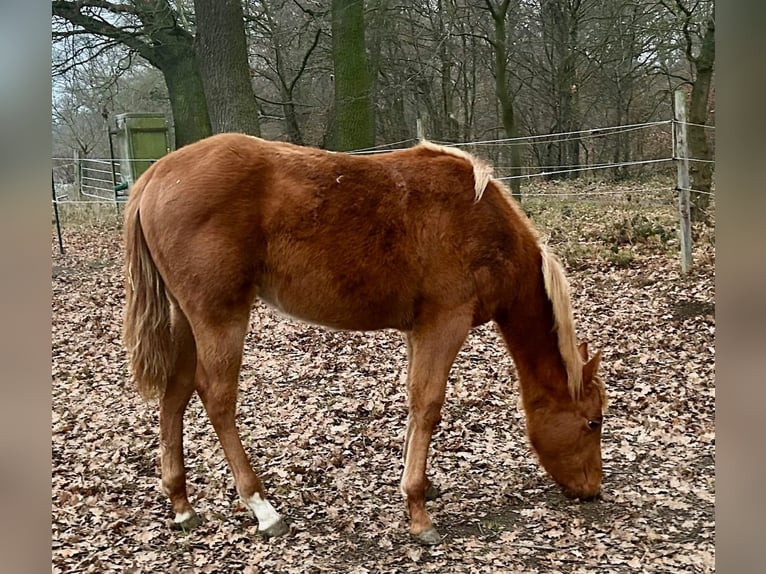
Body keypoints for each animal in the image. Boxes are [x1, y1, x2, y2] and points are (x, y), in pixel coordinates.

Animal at [122, 133, 606, 545]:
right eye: (593, 422)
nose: (593, 490)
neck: (481, 221)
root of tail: (155, 176)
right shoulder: (446, 322)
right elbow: (428, 405)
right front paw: (419, 513)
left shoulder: (420, 329)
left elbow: (414, 404)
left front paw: (419, 486)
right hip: (219, 318)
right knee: (216, 397)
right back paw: (263, 508)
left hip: (186, 321)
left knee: (175, 393)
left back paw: (182, 505)